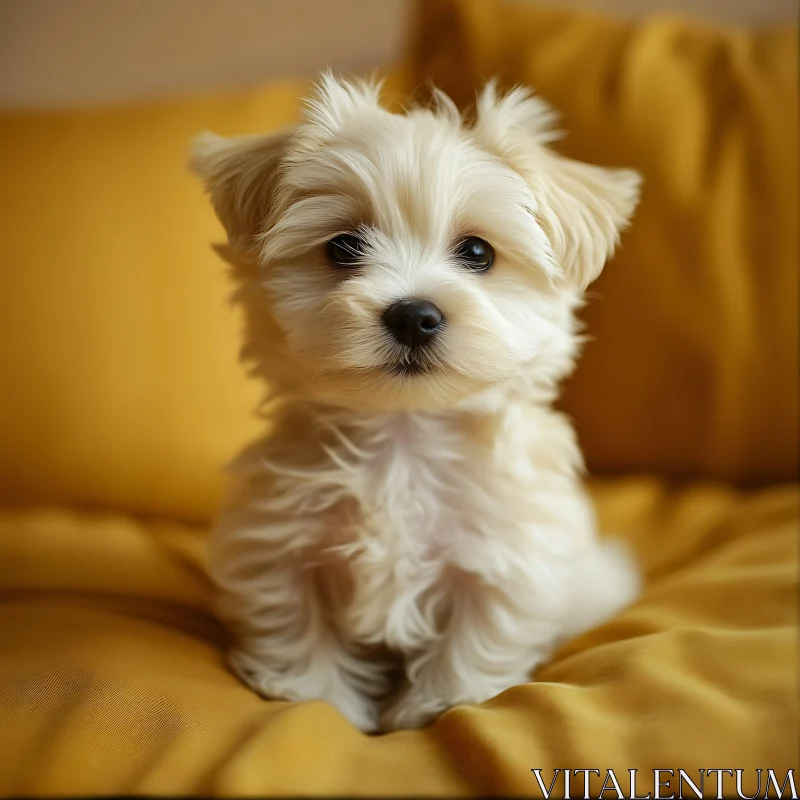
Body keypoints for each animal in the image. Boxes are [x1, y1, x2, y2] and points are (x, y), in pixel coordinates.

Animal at [192, 72, 644, 736]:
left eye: (478, 253)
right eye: (344, 247)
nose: (413, 314)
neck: (403, 436)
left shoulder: (509, 550)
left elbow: (480, 631)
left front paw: (443, 703)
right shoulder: (279, 543)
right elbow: (297, 624)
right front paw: (317, 697)